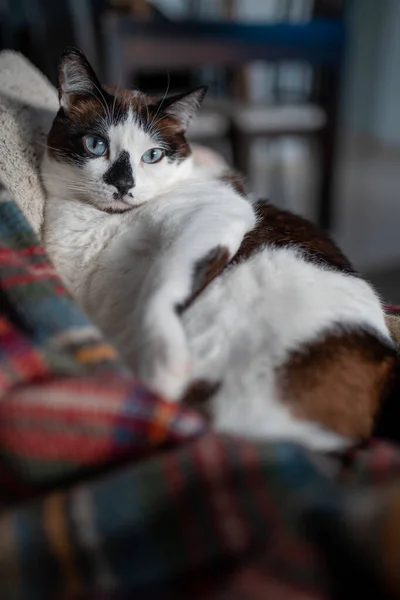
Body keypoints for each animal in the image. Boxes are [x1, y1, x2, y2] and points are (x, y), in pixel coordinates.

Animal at [42, 48, 398, 450]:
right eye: (95, 145)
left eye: (153, 156)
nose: (122, 184)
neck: (103, 222)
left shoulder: (215, 217)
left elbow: (158, 288)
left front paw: (163, 368)